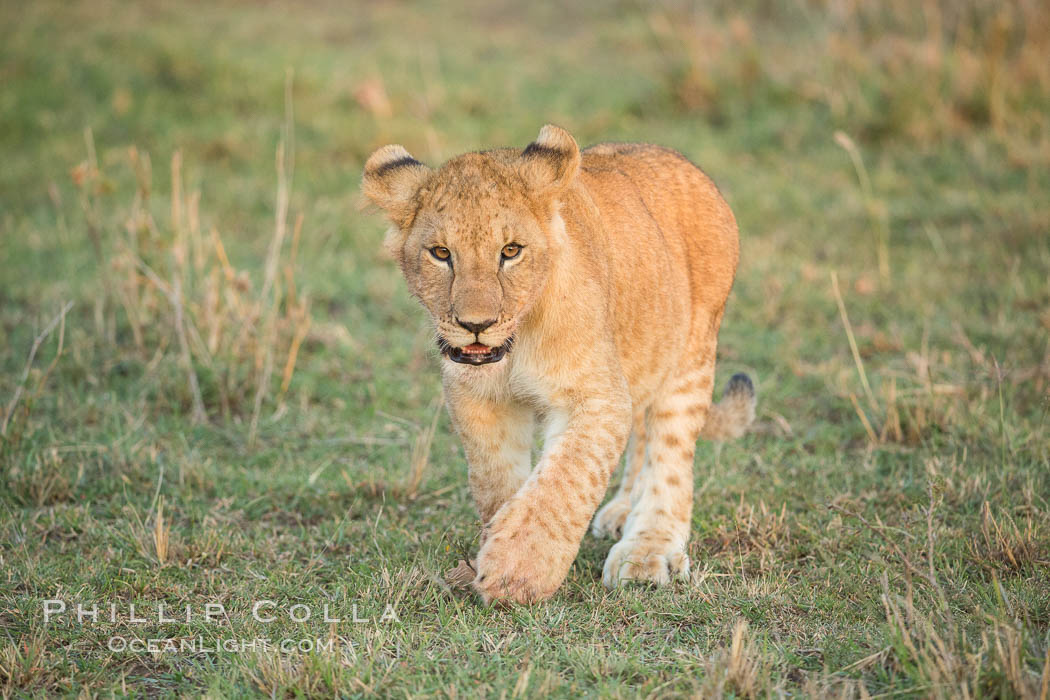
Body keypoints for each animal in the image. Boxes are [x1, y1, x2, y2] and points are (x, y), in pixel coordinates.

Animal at [362, 125, 755, 604]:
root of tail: (682, 161)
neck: (514, 349)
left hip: (691, 356)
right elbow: (496, 481)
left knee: (671, 456)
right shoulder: (476, 398)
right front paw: (493, 541)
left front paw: (516, 571)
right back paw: (622, 510)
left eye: (511, 251)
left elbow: (564, 482)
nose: (476, 325)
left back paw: (648, 551)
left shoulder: (595, 396)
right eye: (440, 253)